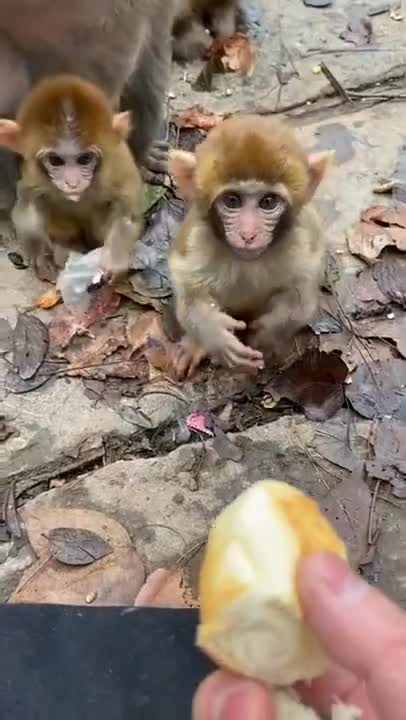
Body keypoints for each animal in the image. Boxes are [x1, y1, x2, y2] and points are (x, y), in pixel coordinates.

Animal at [0, 75, 144, 283]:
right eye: (55, 160)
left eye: (85, 159)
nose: (72, 183)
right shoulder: (33, 173)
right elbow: (28, 205)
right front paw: (39, 253)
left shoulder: (117, 165)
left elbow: (127, 212)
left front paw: (113, 259)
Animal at [168, 115, 333, 378]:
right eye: (232, 200)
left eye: (268, 202)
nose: (248, 234)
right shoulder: (196, 242)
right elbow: (189, 294)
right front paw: (217, 335)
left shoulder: (302, 244)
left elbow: (301, 301)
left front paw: (266, 333)